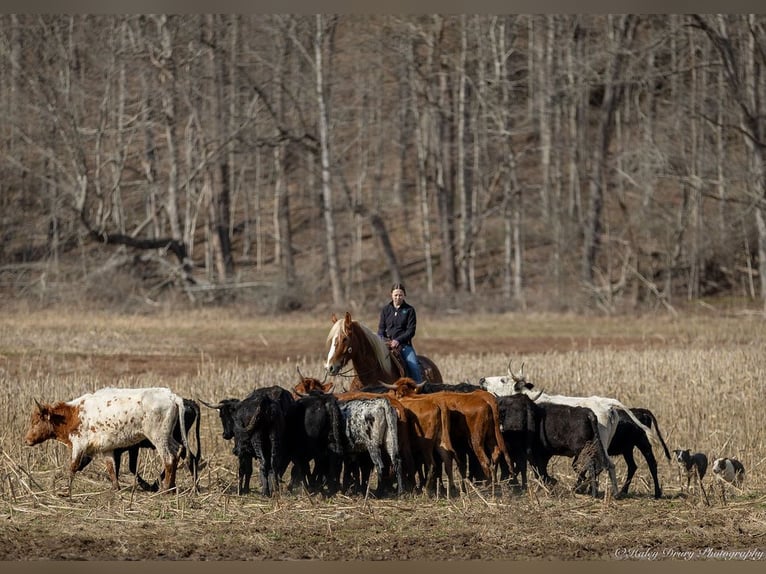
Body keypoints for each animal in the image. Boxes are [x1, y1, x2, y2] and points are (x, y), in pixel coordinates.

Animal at [24, 390, 192, 498]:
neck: (73, 414)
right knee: (177, 451)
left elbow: (73, 467)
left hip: (158, 437)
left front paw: (66, 491)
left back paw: (166, 489)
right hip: (167, 436)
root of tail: (171, 396)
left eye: (36, 421)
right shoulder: (106, 448)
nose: (27, 440)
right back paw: (171, 487)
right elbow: (111, 467)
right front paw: (115, 488)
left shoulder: (79, 444)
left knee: (169, 458)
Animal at [484, 362, 664, 502]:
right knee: (608, 466)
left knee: (602, 465)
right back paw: (613, 492)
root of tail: (609, 406)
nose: (482, 380)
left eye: (503, 379)